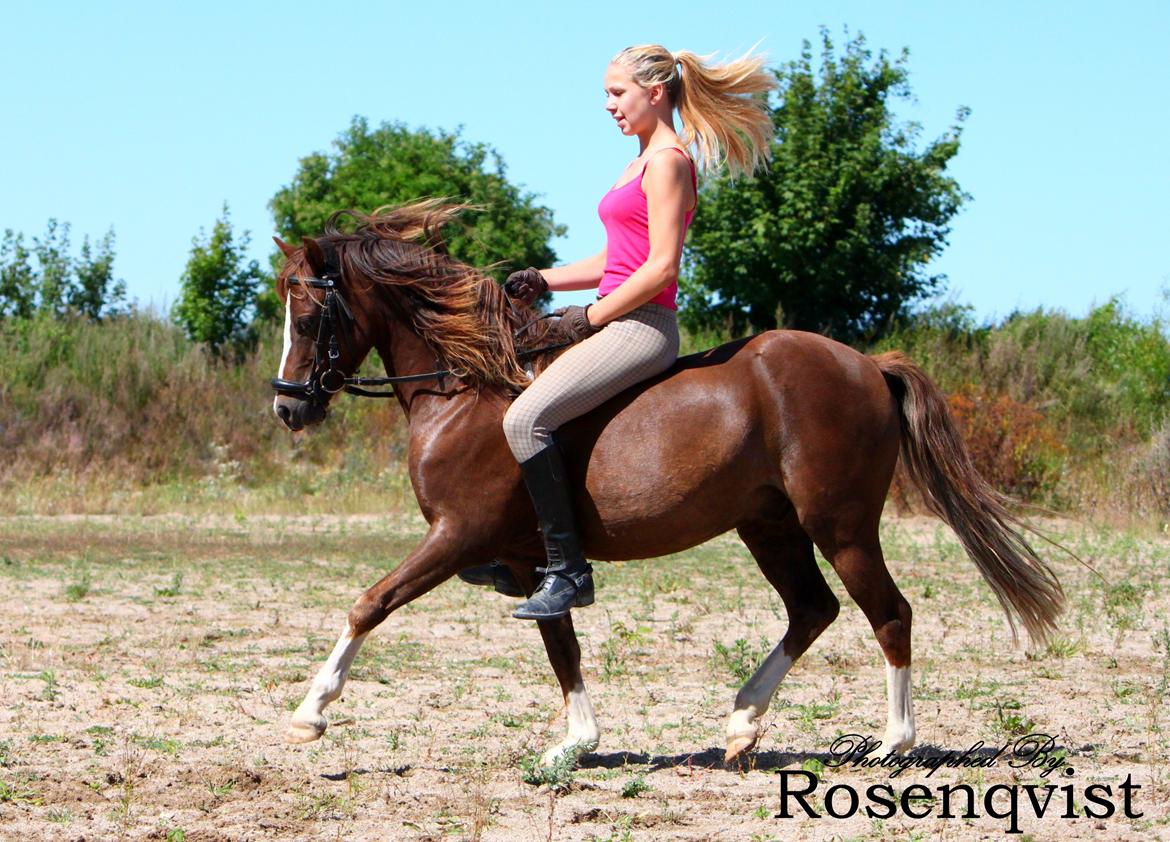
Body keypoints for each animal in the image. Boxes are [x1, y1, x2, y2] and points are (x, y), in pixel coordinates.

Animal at [269, 201, 1064, 768]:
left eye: (307, 318)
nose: (288, 408)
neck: (465, 388)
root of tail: (867, 363)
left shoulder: (458, 532)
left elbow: (370, 604)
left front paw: (310, 714)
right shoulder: (531, 559)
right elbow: (560, 641)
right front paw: (575, 743)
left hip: (839, 525)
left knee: (889, 614)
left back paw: (890, 744)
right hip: (769, 524)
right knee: (813, 610)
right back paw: (742, 724)